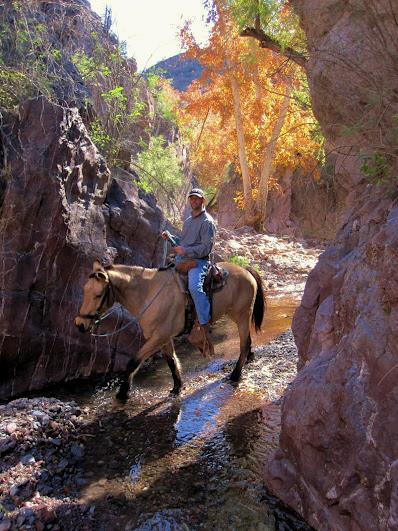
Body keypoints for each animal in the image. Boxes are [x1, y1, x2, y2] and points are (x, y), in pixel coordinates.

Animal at [76, 260, 266, 402]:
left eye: (98, 295)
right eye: (84, 290)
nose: (80, 324)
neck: (149, 294)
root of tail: (246, 270)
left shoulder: (158, 337)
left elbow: (133, 362)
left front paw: (123, 393)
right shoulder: (164, 338)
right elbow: (172, 361)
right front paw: (177, 387)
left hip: (242, 315)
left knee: (244, 343)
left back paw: (235, 374)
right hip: (238, 316)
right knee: (247, 341)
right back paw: (248, 359)